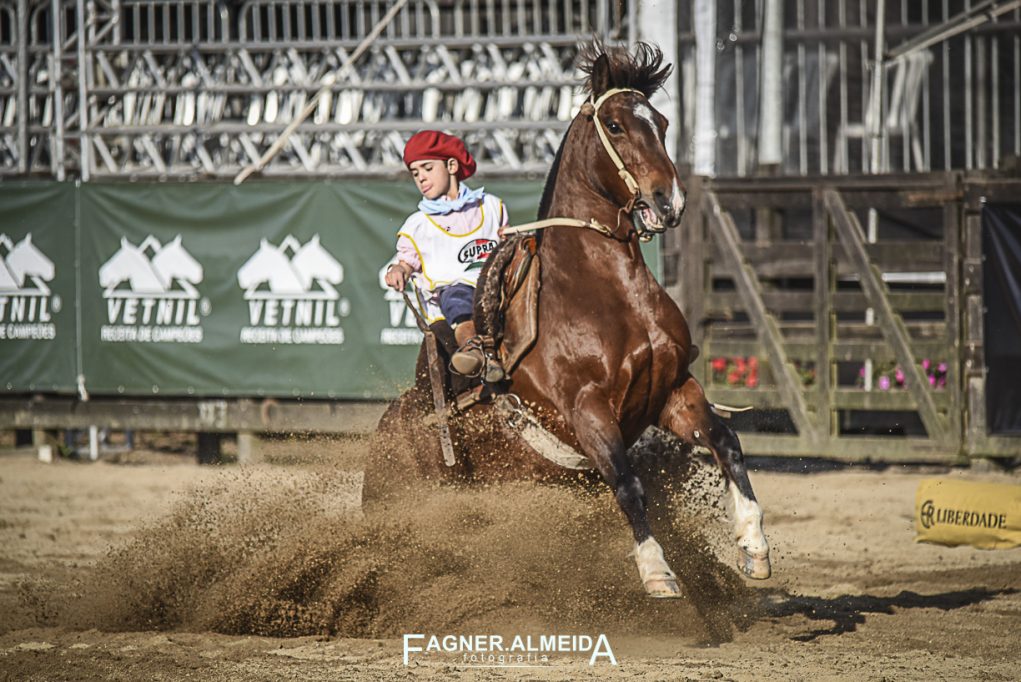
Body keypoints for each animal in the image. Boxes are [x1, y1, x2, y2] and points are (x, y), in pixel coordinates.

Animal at [371, 41, 767, 596]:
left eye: (662, 122)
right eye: (616, 126)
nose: (669, 199)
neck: (606, 292)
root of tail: (389, 428)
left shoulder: (672, 389)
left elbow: (726, 442)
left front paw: (753, 544)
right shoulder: (587, 410)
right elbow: (627, 482)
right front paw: (657, 571)